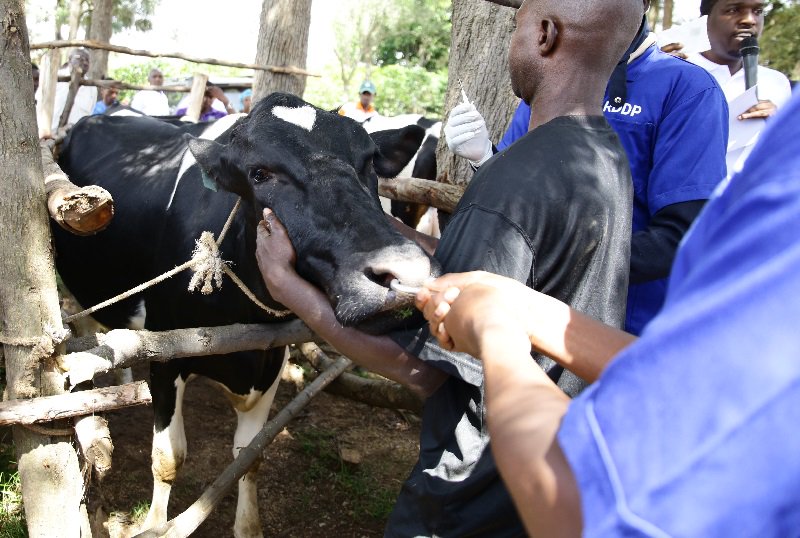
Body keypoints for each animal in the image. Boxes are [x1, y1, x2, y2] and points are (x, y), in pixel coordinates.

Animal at [51, 92, 439, 537]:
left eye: (370, 161)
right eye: (259, 173)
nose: (403, 272)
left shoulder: (273, 354)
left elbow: (249, 456)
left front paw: (248, 525)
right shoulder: (167, 355)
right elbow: (169, 458)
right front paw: (154, 525)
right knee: (83, 326)